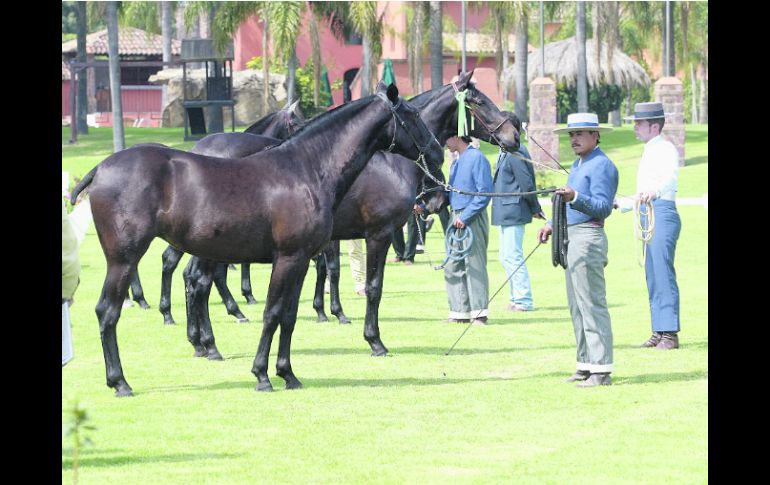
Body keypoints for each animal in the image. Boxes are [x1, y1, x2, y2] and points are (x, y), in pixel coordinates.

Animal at [70, 83, 442, 396]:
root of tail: (99, 170)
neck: (306, 170)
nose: (438, 153)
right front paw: (262, 374)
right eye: (411, 115)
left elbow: (289, 316)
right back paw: (120, 381)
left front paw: (288, 373)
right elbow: (272, 313)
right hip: (124, 259)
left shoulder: (301, 260)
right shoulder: (290, 258)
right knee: (108, 311)